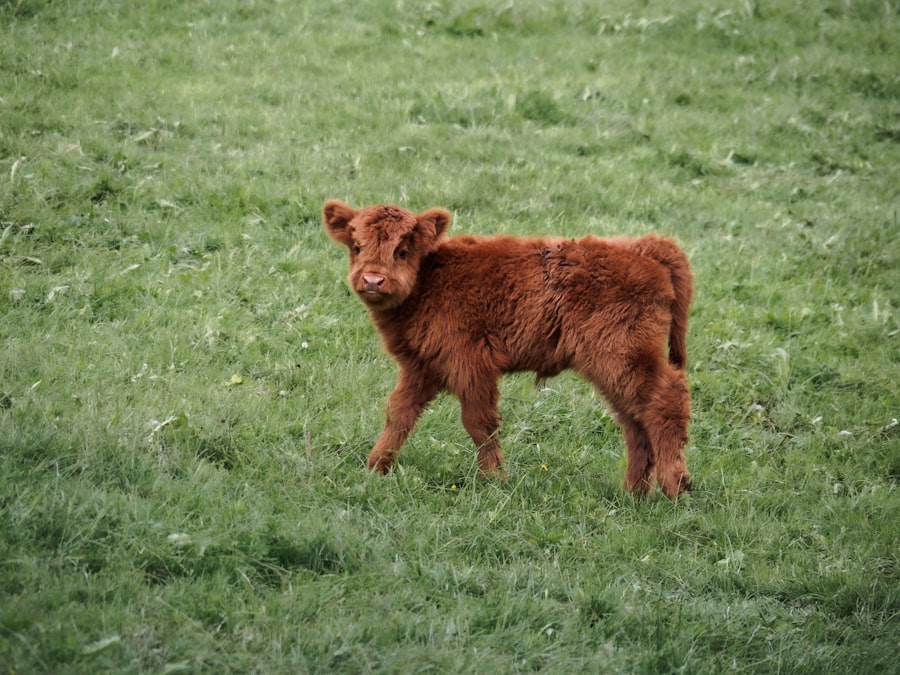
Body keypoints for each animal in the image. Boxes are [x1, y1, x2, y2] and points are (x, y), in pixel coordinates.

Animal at [324, 200, 693, 498]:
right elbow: (398, 414)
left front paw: (493, 480)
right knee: (634, 421)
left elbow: (479, 423)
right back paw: (633, 492)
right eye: (356, 247)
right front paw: (375, 468)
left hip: (622, 357)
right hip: (618, 369)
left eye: (402, 250)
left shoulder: (471, 365)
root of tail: (643, 247)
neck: (430, 279)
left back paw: (675, 486)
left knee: (664, 402)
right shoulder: (422, 368)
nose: (373, 281)